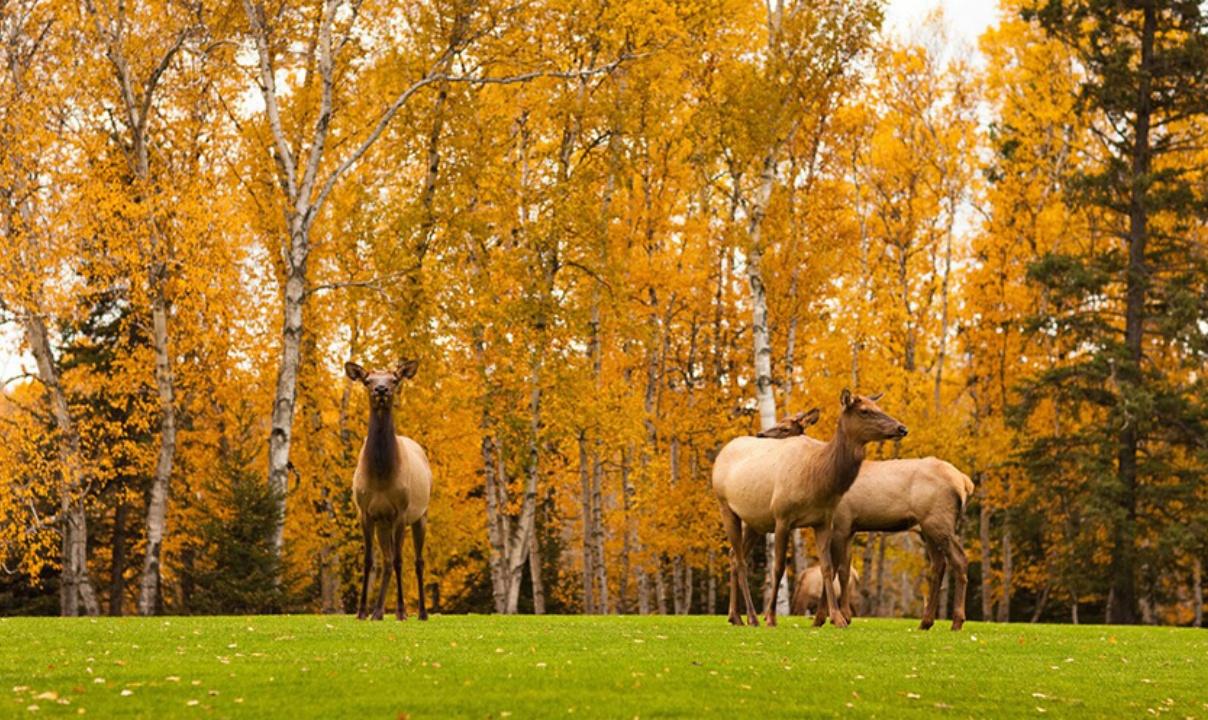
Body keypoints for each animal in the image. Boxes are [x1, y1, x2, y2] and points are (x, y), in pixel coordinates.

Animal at [345, 359, 433, 621]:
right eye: (367, 381)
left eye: (394, 379)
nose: (381, 389)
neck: (381, 476)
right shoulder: (365, 512)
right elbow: (369, 560)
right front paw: (362, 611)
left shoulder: (401, 512)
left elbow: (399, 560)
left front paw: (402, 611)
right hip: (383, 523)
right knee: (384, 560)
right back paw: (378, 612)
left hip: (421, 514)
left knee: (417, 561)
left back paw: (422, 612)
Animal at [711, 389, 907, 628]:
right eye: (864, 411)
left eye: (877, 408)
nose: (901, 428)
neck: (818, 478)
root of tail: (721, 454)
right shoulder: (782, 517)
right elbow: (778, 568)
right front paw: (771, 617)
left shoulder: (823, 521)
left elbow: (827, 568)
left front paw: (837, 618)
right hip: (725, 506)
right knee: (740, 561)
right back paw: (751, 616)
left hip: (754, 521)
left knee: (733, 555)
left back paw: (735, 616)